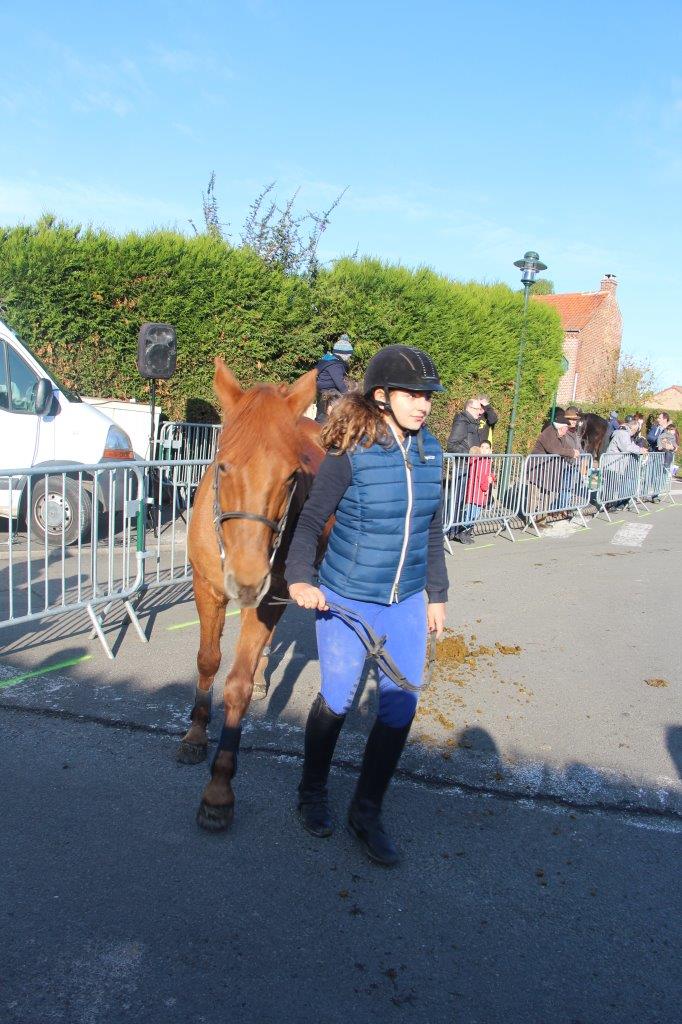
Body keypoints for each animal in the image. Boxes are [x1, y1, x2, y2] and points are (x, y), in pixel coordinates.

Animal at [175, 360, 323, 831]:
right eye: (222, 466)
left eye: (292, 475)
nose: (247, 577)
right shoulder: (208, 589)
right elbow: (208, 660)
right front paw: (195, 733)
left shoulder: (269, 596)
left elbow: (236, 684)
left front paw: (219, 789)